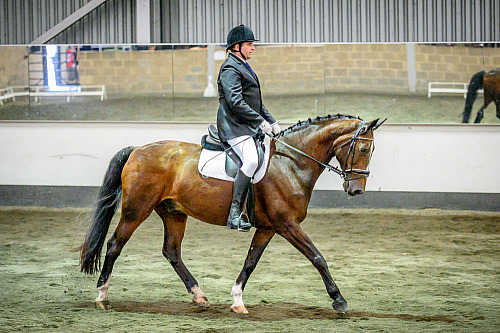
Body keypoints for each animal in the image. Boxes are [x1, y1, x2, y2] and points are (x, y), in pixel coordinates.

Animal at [80, 113, 384, 312]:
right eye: (363, 148)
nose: (356, 190)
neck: (292, 162)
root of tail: (138, 150)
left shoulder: (268, 228)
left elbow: (250, 262)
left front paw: (237, 300)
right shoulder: (287, 225)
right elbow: (318, 257)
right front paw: (339, 299)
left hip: (173, 213)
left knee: (172, 252)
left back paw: (199, 296)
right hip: (136, 210)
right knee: (114, 245)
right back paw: (102, 296)